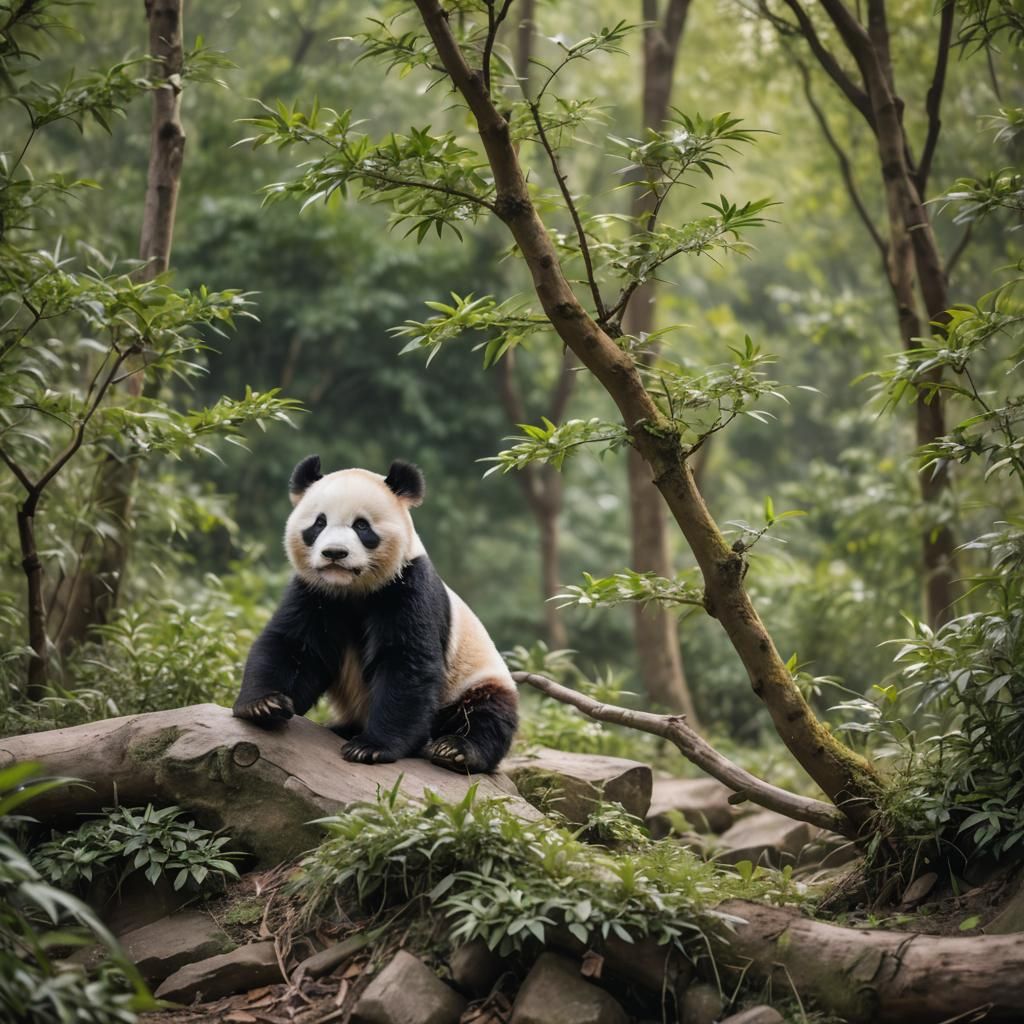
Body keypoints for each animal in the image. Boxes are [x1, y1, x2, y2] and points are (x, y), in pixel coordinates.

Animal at [232, 455, 518, 773]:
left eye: (362, 526)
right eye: (319, 523)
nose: (334, 553)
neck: (352, 589)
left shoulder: (407, 588)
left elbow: (406, 662)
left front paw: (370, 747)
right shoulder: (315, 593)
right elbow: (295, 646)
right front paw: (262, 705)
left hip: (473, 679)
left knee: (487, 713)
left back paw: (456, 749)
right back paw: (341, 728)